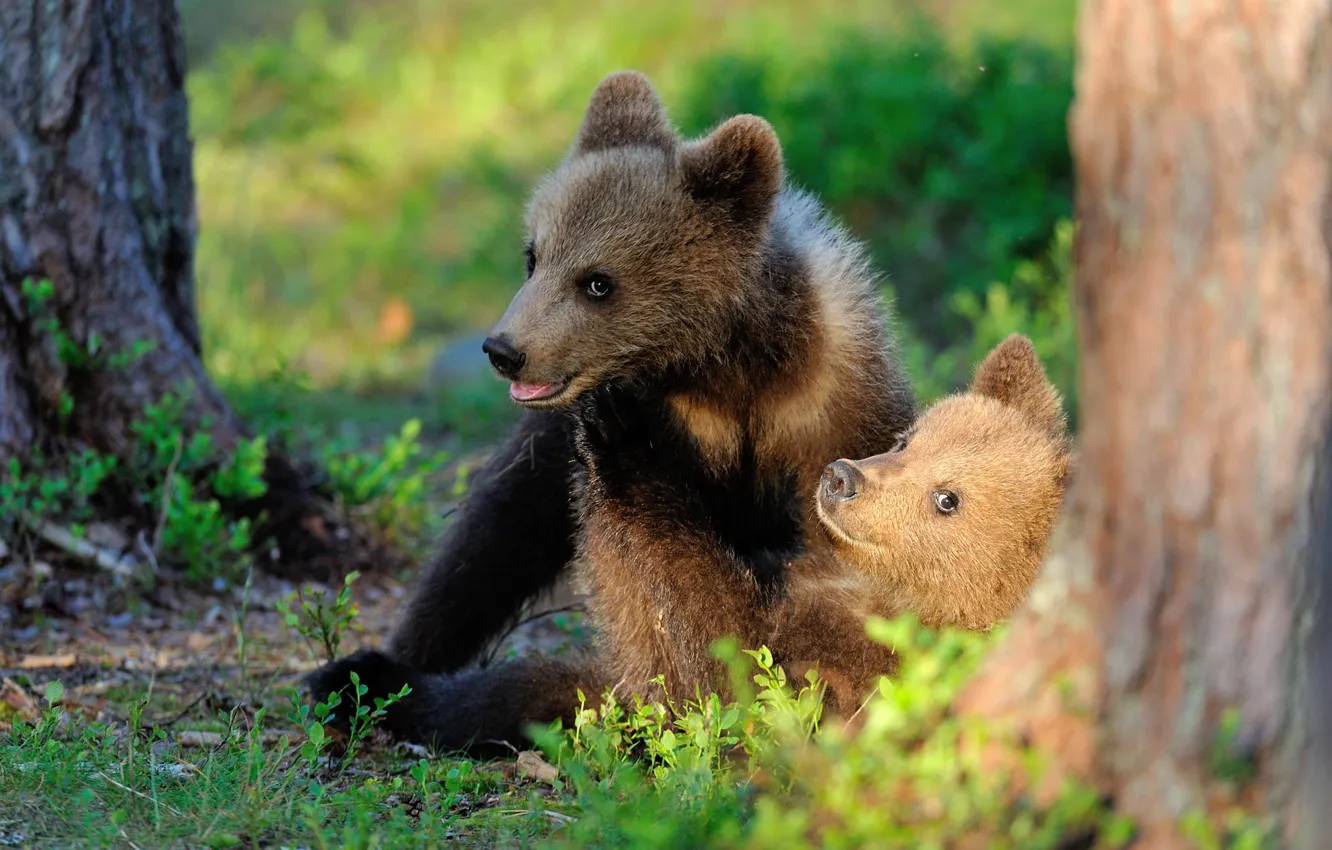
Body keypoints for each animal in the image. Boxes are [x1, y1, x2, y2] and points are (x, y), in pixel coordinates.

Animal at [306, 69, 917, 753]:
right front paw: (397, 661)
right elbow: (498, 535)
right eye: (533, 255)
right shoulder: (579, 434)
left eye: (598, 281)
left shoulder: (832, 422)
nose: (504, 350)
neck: (723, 369)